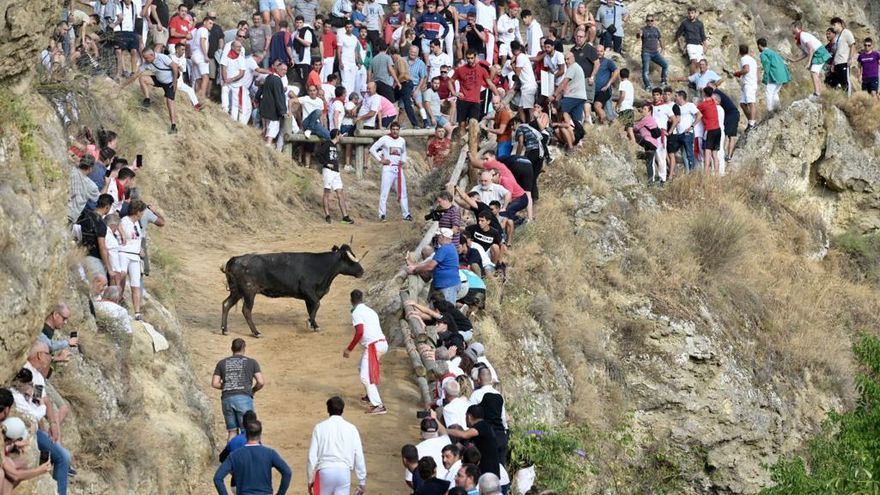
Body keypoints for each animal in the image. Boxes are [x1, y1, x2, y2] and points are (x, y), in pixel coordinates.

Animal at [223, 244, 368, 338]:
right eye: (350, 260)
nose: (362, 271)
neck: (322, 267)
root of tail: (235, 259)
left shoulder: (309, 297)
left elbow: (312, 308)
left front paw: (315, 325)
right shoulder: (308, 291)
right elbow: (317, 305)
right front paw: (309, 323)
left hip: (237, 291)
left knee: (226, 304)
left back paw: (224, 330)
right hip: (249, 292)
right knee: (246, 310)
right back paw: (256, 332)